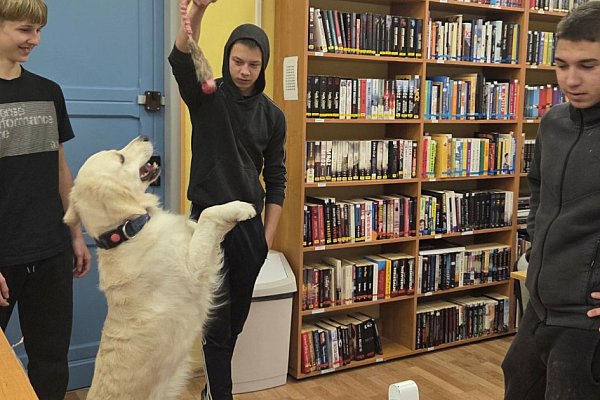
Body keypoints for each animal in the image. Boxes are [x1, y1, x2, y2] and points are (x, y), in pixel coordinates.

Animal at [63, 136, 256, 400]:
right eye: (120, 157)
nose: (144, 137)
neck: (127, 232)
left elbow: (196, 221)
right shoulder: (193, 269)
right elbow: (208, 214)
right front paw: (240, 207)